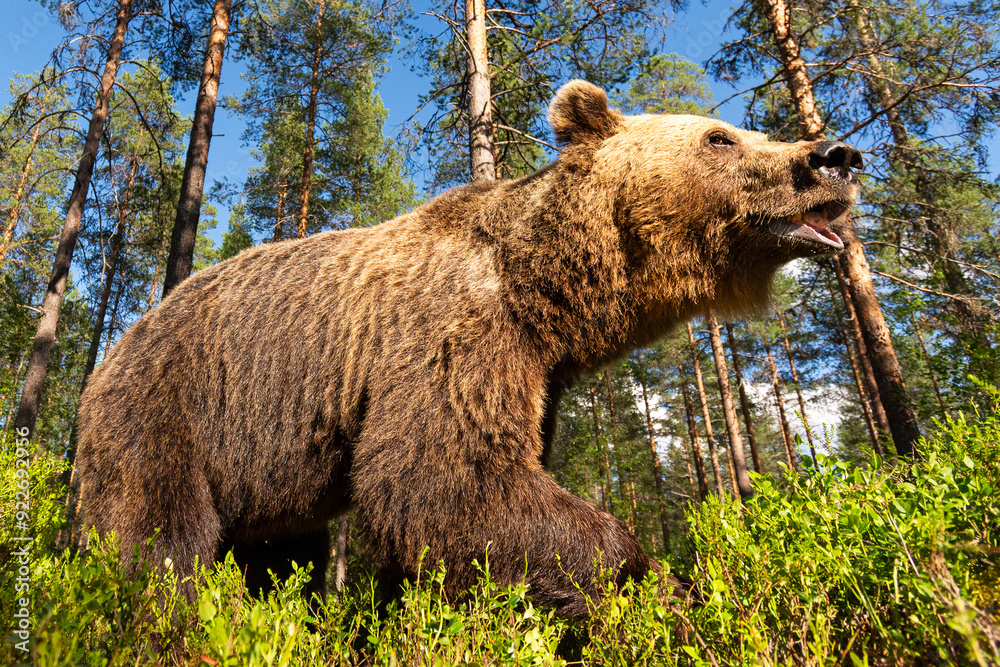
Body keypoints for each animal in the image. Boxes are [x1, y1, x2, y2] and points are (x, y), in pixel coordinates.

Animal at [76, 79, 860, 620]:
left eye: (744, 129)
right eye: (720, 137)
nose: (834, 154)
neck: (542, 289)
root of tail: (117, 342)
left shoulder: (536, 373)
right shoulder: (452, 334)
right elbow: (445, 480)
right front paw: (659, 588)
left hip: (263, 467)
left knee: (275, 551)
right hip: (172, 406)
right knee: (154, 534)